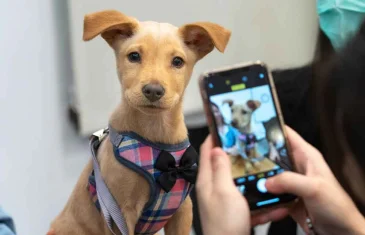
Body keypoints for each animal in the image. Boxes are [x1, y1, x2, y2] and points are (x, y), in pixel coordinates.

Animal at [48, 9, 229, 235]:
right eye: (134, 56)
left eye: (178, 61)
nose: (153, 90)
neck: (156, 132)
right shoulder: (121, 214)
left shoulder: (182, 209)